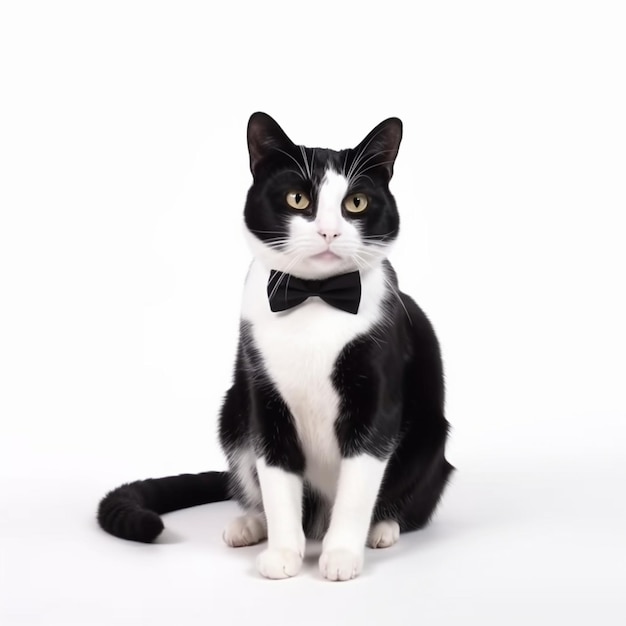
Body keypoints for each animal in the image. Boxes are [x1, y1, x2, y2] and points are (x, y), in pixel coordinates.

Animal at [100, 112, 456, 580]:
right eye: (297, 199)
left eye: (357, 203)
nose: (328, 231)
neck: (315, 297)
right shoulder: (264, 396)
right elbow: (276, 477)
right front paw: (284, 552)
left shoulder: (377, 398)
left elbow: (359, 483)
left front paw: (342, 554)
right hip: (233, 413)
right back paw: (251, 524)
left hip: (430, 435)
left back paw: (381, 528)